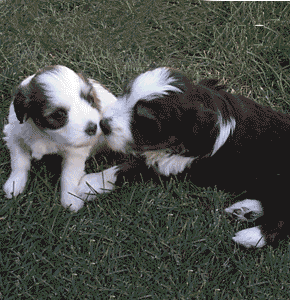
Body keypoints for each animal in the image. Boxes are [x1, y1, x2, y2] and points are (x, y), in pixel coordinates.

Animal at [2, 65, 117, 211]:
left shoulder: (75, 152)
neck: (47, 134)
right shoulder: (15, 134)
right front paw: (15, 183)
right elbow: (19, 162)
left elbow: (69, 174)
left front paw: (71, 198)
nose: (94, 128)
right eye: (59, 114)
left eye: (90, 100)